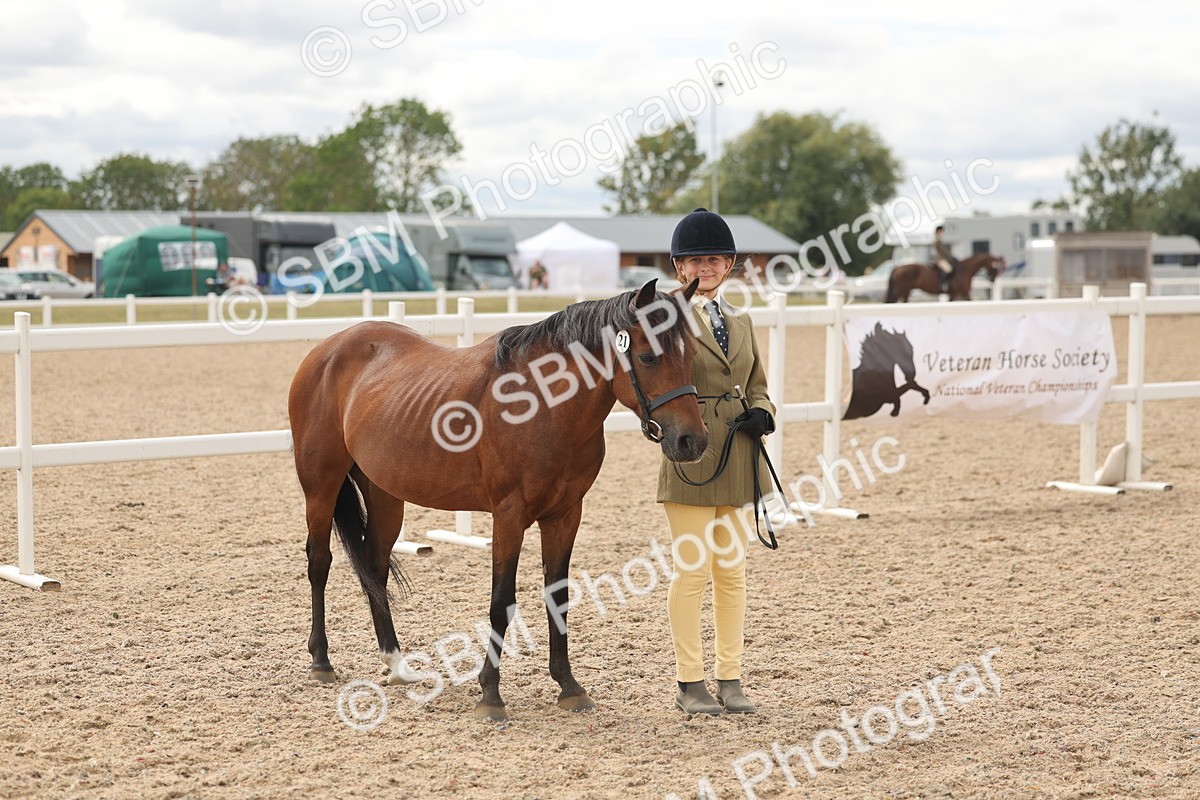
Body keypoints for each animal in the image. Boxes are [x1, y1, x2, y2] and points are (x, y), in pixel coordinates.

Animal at [288, 279, 708, 722]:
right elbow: (501, 601)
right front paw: (490, 693)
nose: (691, 441)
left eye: (691, 356)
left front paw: (569, 686)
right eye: (647, 357)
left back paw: (397, 663)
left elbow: (557, 596)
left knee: (374, 566)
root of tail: (328, 348)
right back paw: (321, 660)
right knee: (319, 561)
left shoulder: (565, 514)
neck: (543, 405)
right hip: (320, 486)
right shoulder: (509, 515)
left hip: (385, 495)